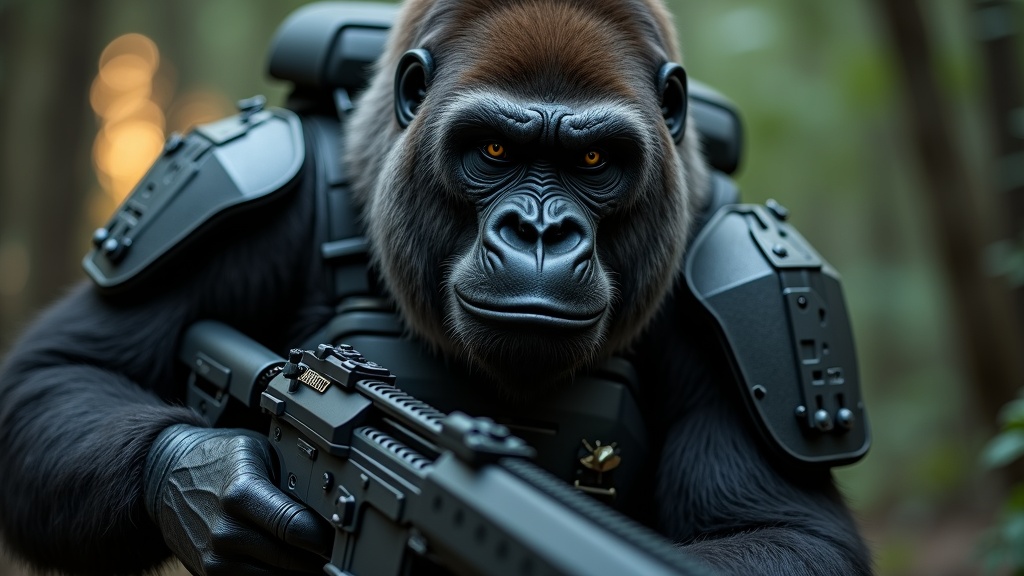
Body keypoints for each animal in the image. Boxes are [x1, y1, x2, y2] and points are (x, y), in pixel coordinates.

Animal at [0, 0, 873, 575]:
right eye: (494, 149)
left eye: (594, 161)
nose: (539, 232)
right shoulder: (258, 179)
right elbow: (58, 375)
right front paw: (209, 482)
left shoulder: (739, 255)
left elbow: (785, 527)